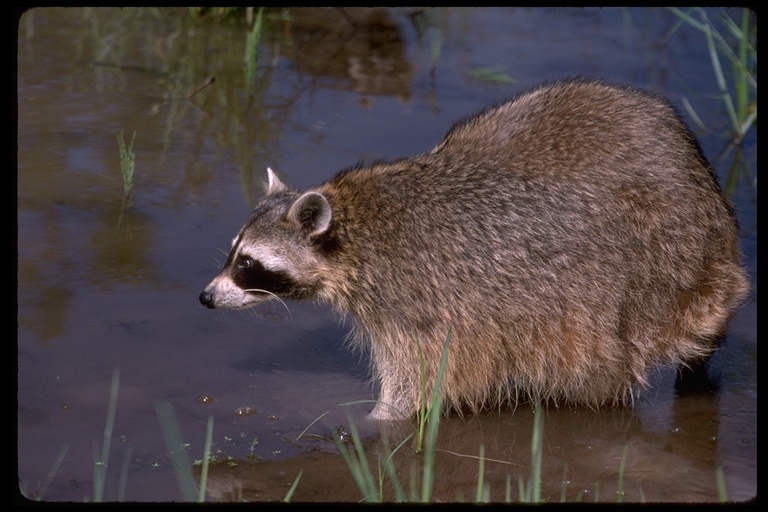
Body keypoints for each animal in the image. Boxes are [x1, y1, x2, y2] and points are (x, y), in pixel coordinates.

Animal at [198, 76, 752, 420]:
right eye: (233, 253)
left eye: (248, 264)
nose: (205, 297)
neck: (353, 226)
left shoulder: (421, 304)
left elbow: (419, 381)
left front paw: (379, 420)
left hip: (661, 260)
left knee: (610, 351)